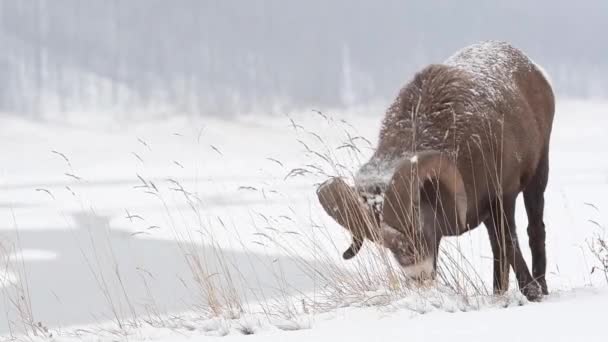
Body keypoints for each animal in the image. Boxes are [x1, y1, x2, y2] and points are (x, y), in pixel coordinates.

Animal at [318, 41, 556, 300]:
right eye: (388, 245)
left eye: (419, 229)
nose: (419, 278)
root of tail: (532, 67)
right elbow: (501, 248)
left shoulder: (503, 199)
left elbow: (509, 243)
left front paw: (532, 292)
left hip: (538, 178)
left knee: (534, 230)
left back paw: (542, 287)